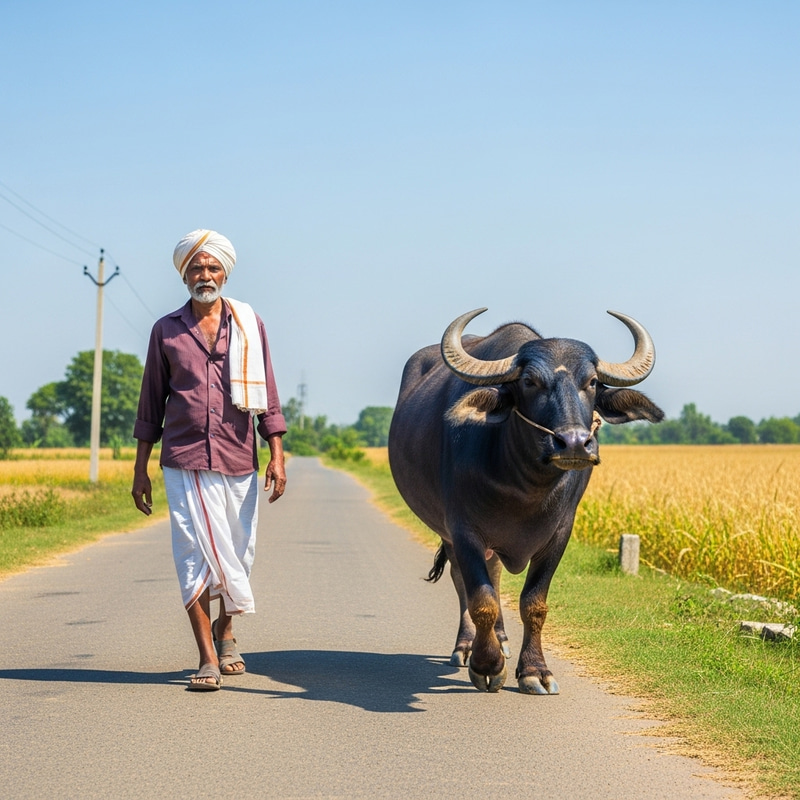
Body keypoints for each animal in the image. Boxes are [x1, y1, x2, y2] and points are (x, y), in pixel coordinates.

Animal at [388, 308, 663, 694]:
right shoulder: (464, 530)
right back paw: (466, 646)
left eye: (592, 381)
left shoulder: (560, 533)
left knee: (496, 574)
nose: (574, 443)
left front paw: (534, 670)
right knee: (463, 582)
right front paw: (487, 665)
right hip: (446, 532)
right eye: (530, 381)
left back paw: (502, 639)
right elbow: (482, 599)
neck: (524, 486)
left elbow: (534, 603)